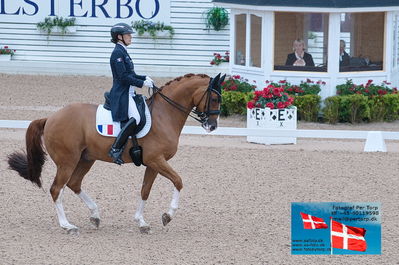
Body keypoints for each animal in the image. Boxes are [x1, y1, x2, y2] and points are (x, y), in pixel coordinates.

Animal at [7, 72, 225, 233]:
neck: (165, 114)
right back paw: (67, 225)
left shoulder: (153, 163)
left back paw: (95, 215)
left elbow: (145, 190)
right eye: (214, 98)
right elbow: (178, 181)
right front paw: (167, 215)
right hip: (67, 161)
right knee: (56, 189)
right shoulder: (156, 159)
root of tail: (50, 118)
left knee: (74, 184)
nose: (212, 126)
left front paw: (141, 222)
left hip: (86, 159)